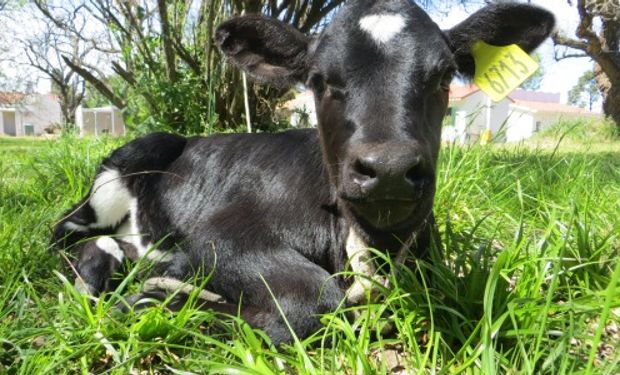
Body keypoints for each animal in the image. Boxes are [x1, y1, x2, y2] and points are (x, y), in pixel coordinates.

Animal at [52, 0, 552, 346]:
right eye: (318, 80)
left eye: (445, 75)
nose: (388, 168)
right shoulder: (220, 235)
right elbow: (316, 301)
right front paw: (174, 301)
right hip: (133, 159)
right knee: (63, 233)